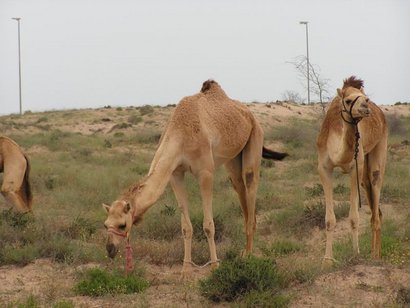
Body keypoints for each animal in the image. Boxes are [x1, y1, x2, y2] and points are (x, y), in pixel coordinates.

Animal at [103, 79, 288, 276]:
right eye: (105, 225)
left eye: (122, 225)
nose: (110, 249)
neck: (179, 133)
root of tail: (250, 115)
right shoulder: (175, 174)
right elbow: (186, 227)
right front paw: (185, 270)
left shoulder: (205, 172)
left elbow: (208, 225)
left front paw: (215, 266)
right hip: (233, 158)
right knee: (239, 186)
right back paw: (244, 251)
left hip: (255, 138)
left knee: (250, 181)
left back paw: (249, 254)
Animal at [318, 76, 388, 262]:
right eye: (348, 101)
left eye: (366, 98)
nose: (365, 106)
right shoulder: (324, 168)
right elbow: (329, 219)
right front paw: (327, 260)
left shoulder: (354, 169)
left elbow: (354, 217)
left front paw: (356, 253)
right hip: (363, 174)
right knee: (375, 208)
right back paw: (376, 253)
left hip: (380, 146)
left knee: (376, 185)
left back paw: (374, 257)